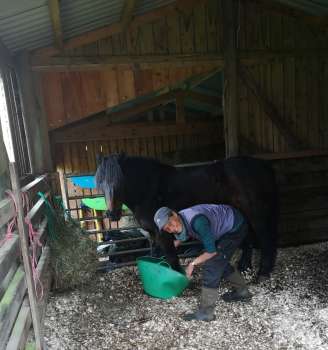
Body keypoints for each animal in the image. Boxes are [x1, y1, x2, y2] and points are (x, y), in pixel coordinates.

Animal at [96, 154, 278, 280]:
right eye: (100, 183)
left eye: (120, 182)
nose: (112, 214)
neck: (149, 190)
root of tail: (263, 166)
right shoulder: (153, 234)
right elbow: (158, 255)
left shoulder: (162, 232)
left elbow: (170, 255)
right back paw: (244, 267)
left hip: (256, 215)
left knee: (265, 239)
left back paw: (263, 272)